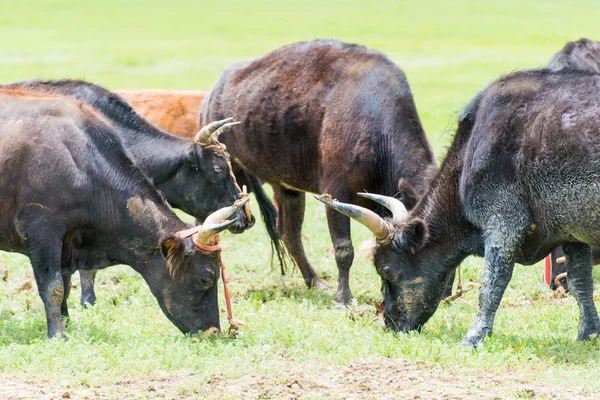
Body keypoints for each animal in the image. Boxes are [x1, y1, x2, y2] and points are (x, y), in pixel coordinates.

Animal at [0, 90, 246, 338]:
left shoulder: (67, 247)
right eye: (206, 277)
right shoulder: (43, 235)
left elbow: (66, 287)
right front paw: (58, 334)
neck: (80, 163)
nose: (213, 332)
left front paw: (66, 322)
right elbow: (54, 287)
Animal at [200, 39, 436, 304]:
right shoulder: (336, 195)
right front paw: (343, 298)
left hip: (287, 189)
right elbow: (344, 249)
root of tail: (211, 95)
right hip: (233, 176)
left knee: (289, 234)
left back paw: (315, 281)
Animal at [318, 68, 600, 344]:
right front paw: (588, 333)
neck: (469, 155)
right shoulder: (572, 235)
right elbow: (580, 282)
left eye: (385, 268)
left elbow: (491, 285)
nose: (390, 323)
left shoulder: (504, 224)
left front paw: (475, 335)